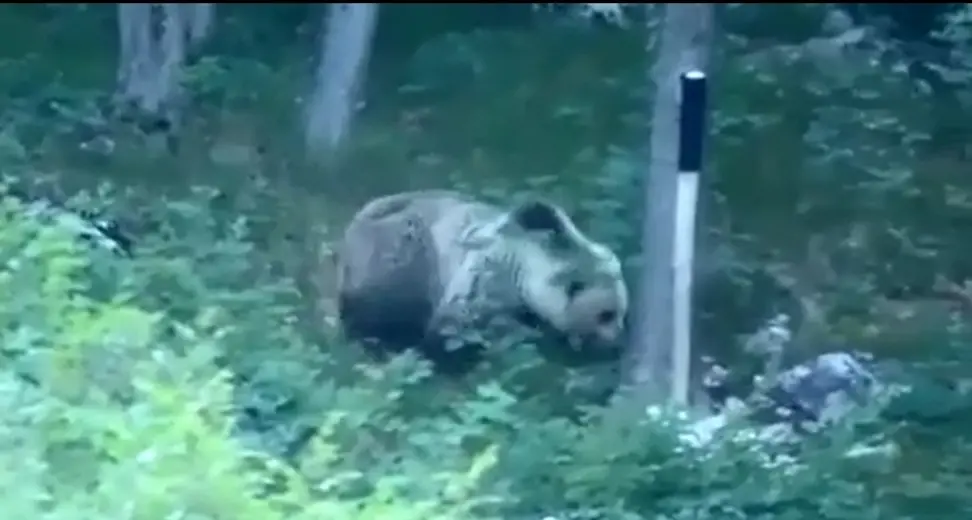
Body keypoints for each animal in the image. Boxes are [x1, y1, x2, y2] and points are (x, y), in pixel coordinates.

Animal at [335, 189, 628, 376]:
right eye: (605, 315)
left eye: (622, 312)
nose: (616, 344)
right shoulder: (489, 275)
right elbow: (456, 330)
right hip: (395, 252)